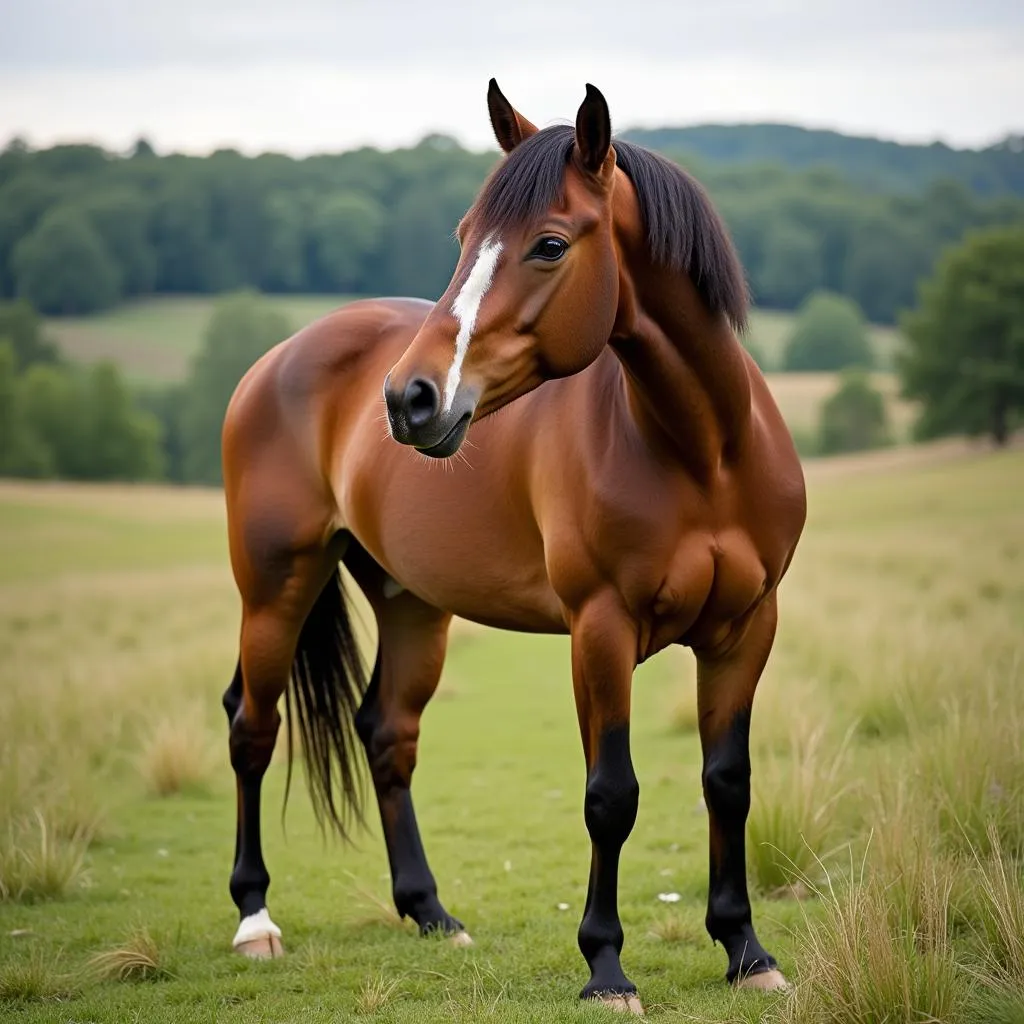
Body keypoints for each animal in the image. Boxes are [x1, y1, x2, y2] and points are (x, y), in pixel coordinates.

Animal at [222, 75, 806, 1011]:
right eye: (465, 236)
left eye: (551, 243)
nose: (411, 399)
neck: (705, 452)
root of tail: (281, 356)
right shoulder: (600, 631)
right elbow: (611, 794)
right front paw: (606, 970)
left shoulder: (746, 629)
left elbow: (728, 782)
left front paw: (747, 952)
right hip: (275, 589)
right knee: (253, 726)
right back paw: (255, 922)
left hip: (411, 602)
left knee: (387, 732)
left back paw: (431, 913)